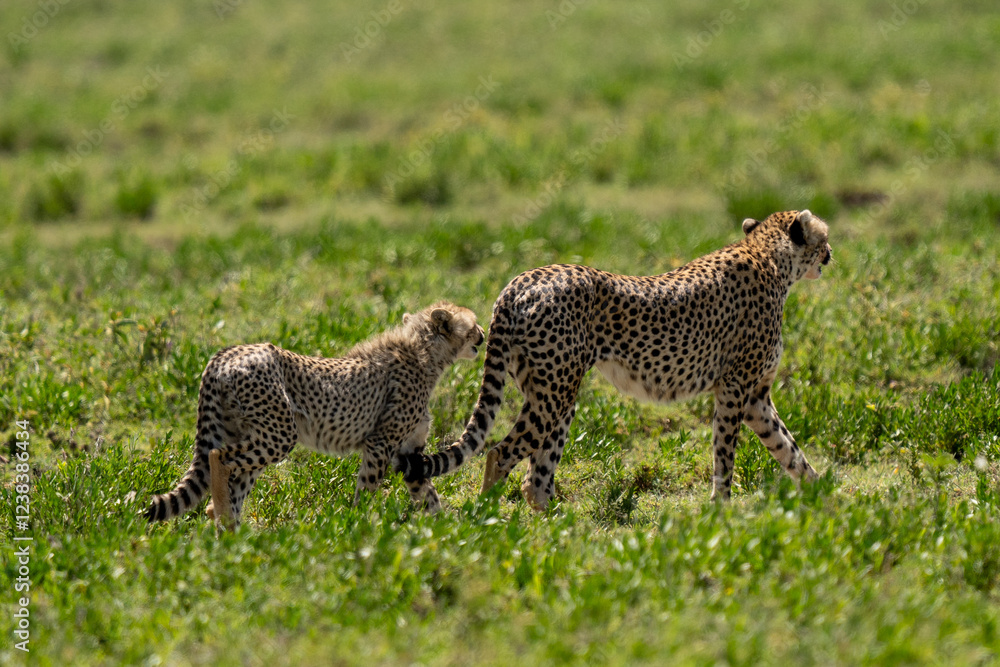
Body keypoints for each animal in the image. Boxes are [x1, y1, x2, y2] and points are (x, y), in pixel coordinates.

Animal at [146, 302, 484, 529]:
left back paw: (231, 538)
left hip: (245, 432)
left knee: (233, 476)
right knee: (218, 457)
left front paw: (444, 533)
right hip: (280, 434)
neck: (425, 354)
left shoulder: (408, 452)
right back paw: (219, 514)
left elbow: (427, 493)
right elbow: (368, 488)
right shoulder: (380, 443)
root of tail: (225, 353)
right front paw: (360, 525)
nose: (483, 334)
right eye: (473, 324)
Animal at [396, 210, 832, 510]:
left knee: (537, 476)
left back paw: (562, 526)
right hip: (555, 392)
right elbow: (725, 454)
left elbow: (788, 448)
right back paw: (488, 519)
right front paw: (721, 510)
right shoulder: (734, 389)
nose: (830, 254)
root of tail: (519, 281)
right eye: (823, 236)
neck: (769, 259)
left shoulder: (756, 397)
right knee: (500, 453)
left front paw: (822, 493)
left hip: (555, 394)